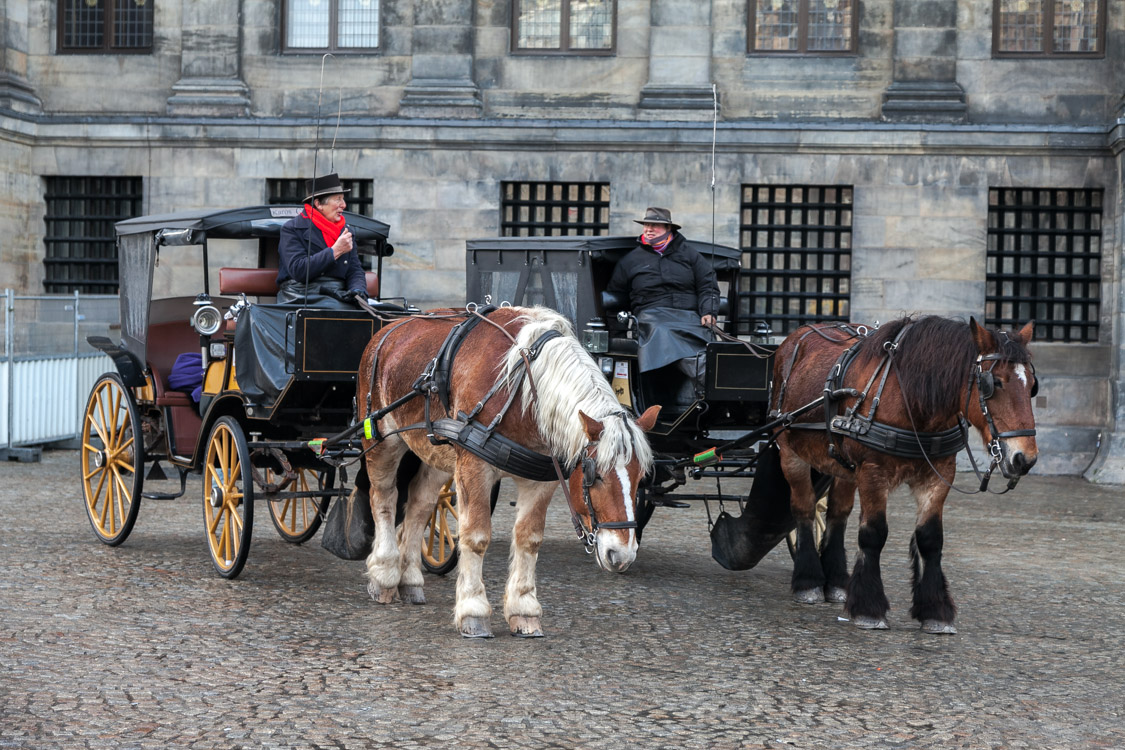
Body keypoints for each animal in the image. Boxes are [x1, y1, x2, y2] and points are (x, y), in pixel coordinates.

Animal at [355, 305, 657, 638]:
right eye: (596, 475)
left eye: (641, 479)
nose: (623, 555)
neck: (523, 390)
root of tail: (388, 328)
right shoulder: (474, 466)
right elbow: (475, 537)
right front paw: (473, 610)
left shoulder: (541, 478)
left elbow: (529, 538)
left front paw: (523, 609)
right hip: (382, 438)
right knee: (384, 498)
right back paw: (384, 573)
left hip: (437, 452)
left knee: (421, 505)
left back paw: (409, 579)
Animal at [774, 317, 1035, 634]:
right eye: (993, 383)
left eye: (1032, 385)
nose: (1025, 458)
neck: (912, 399)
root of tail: (797, 335)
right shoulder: (872, 473)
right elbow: (873, 534)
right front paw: (869, 608)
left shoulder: (938, 475)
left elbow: (930, 538)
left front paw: (935, 610)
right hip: (791, 452)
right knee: (804, 508)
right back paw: (808, 581)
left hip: (843, 467)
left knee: (837, 513)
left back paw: (836, 581)